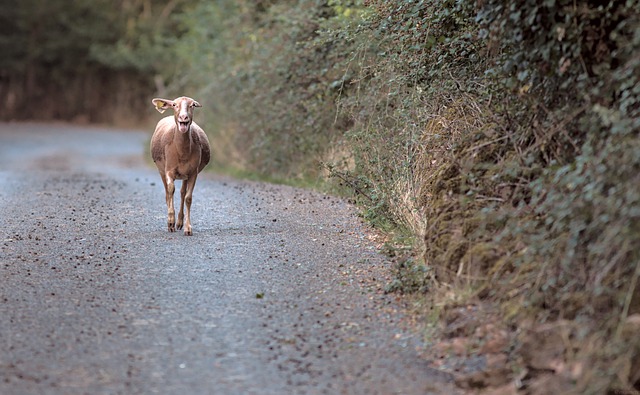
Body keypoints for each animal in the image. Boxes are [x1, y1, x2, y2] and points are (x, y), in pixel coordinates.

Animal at [149, 96, 210, 237]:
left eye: (192, 105)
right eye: (174, 105)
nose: (183, 117)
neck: (182, 153)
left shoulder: (193, 172)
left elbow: (188, 198)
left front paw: (188, 228)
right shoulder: (169, 169)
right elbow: (171, 190)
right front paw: (170, 222)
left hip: (184, 174)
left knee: (182, 193)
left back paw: (180, 222)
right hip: (161, 170)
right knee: (167, 193)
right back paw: (172, 223)